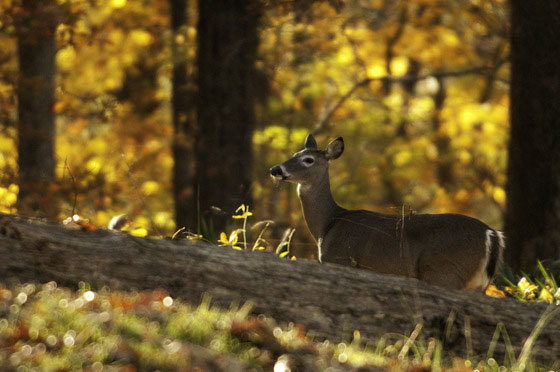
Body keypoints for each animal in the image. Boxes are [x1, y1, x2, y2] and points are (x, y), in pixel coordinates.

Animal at [270, 133, 506, 290]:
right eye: (295, 153)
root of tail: (492, 234)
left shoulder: (339, 259)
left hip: (445, 272)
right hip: (478, 283)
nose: (275, 169)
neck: (328, 224)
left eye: (308, 160)